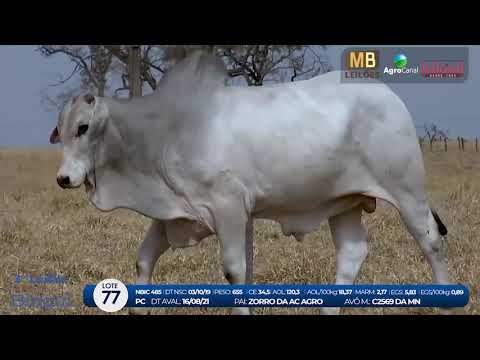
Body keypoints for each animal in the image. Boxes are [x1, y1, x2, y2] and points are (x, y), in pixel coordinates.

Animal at [49, 51, 450, 316]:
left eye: (83, 127)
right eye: (61, 129)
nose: (63, 178)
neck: (164, 132)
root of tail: (388, 95)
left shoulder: (227, 208)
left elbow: (235, 271)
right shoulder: (177, 215)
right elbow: (143, 261)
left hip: (407, 192)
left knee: (432, 243)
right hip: (345, 203)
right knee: (351, 254)